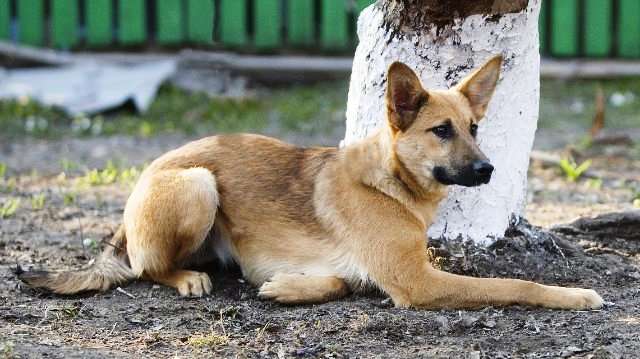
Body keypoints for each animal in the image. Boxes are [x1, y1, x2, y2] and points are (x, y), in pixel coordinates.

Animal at [17, 55, 604, 310]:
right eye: (441, 130)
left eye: (474, 129)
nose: (488, 170)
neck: (390, 181)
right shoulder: (418, 283)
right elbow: (516, 285)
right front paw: (575, 295)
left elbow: (342, 279)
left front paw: (292, 286)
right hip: (199, 184)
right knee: (145, 266)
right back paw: (185, 278)